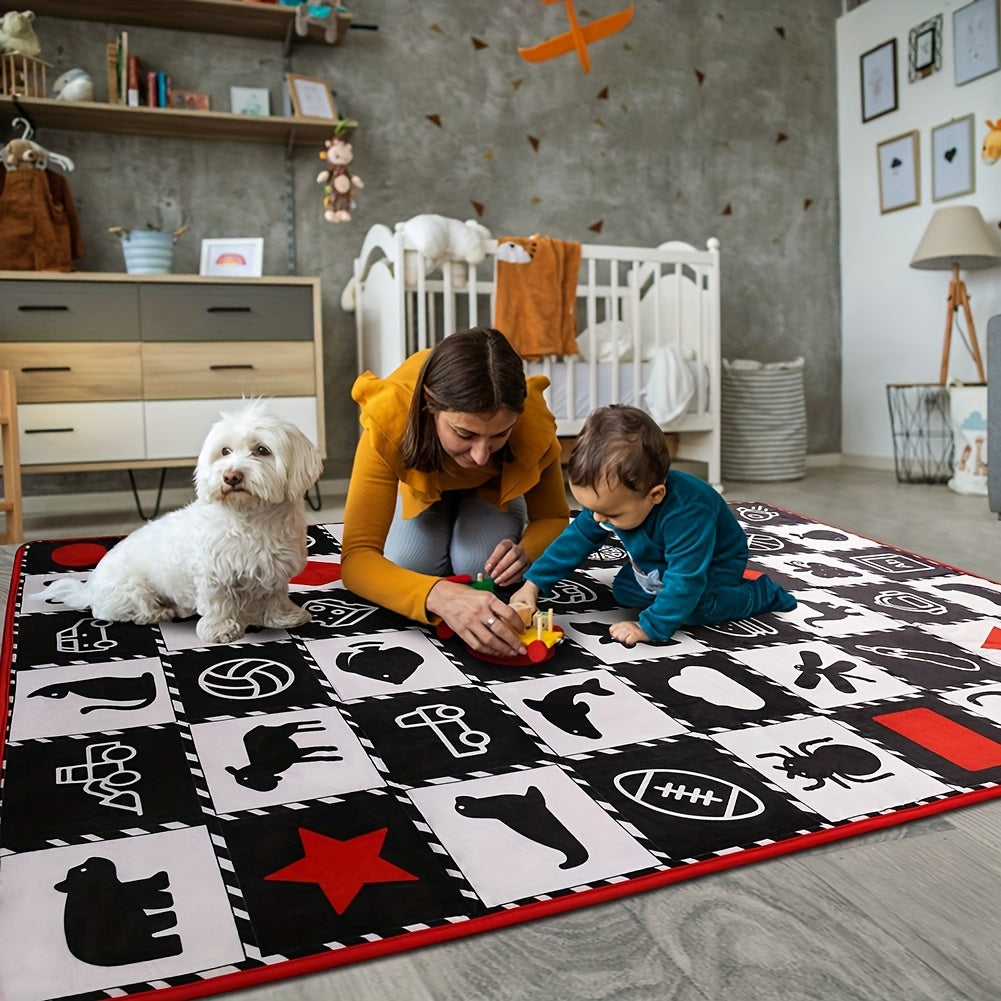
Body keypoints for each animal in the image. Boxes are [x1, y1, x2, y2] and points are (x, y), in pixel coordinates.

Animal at [47, 402, 320, 644]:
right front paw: (220, 631)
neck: (252, 517)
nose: (231, 476)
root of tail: (89, 588)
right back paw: (157, 613)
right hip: (132, 589)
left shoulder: (276, 568)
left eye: (262, 450)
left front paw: (284, 617)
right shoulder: (214, 574)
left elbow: (276, 596)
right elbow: (219, 603)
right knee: (128, 610)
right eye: (225, 451)